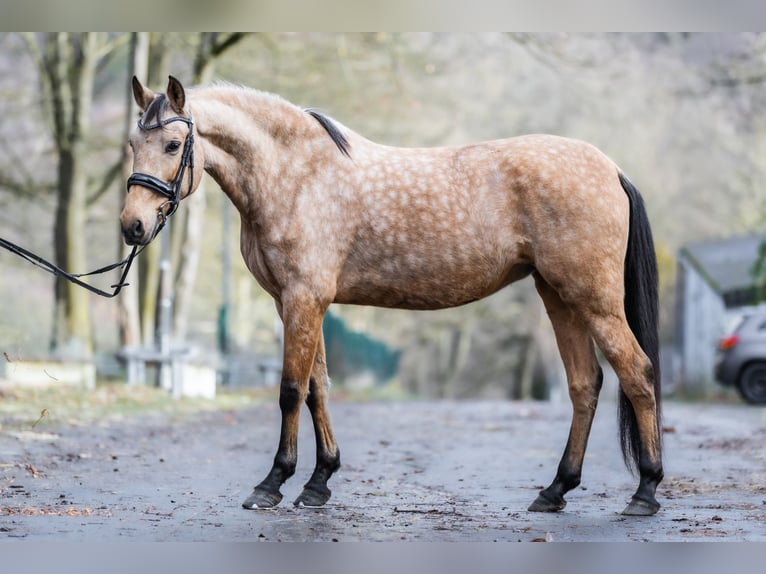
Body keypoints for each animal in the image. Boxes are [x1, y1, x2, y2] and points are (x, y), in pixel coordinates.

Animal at [120, 75, 664, 516]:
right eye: (132, 142)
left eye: (173, 144)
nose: (133, 226)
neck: (296, 174)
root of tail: (611, 169)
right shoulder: (296, 302)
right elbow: (318, 388)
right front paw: (319, 482)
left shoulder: (303, 299)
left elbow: (291, 390)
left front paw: (272, 484)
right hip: (558, 295)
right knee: (584, 385)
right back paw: (555, 491)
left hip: (594, 300)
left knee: (637, 373)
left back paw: (645, 492)